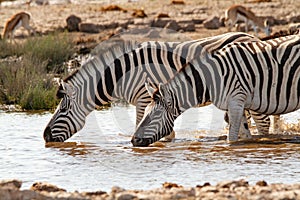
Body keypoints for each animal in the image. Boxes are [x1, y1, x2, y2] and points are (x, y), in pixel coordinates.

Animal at [44, 31, 270, 142]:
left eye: (62, 110)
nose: (45, 136)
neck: (122, 76)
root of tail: (252, 37)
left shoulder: (143, 98)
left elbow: (140, 123)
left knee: (264, 123)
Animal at [132, 33, 300, 147]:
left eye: (156, 115)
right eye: (145, 112)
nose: (134, 140)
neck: (212, 79)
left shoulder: (236, 101)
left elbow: (232, 137)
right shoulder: (238, 104)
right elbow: (244, 135)